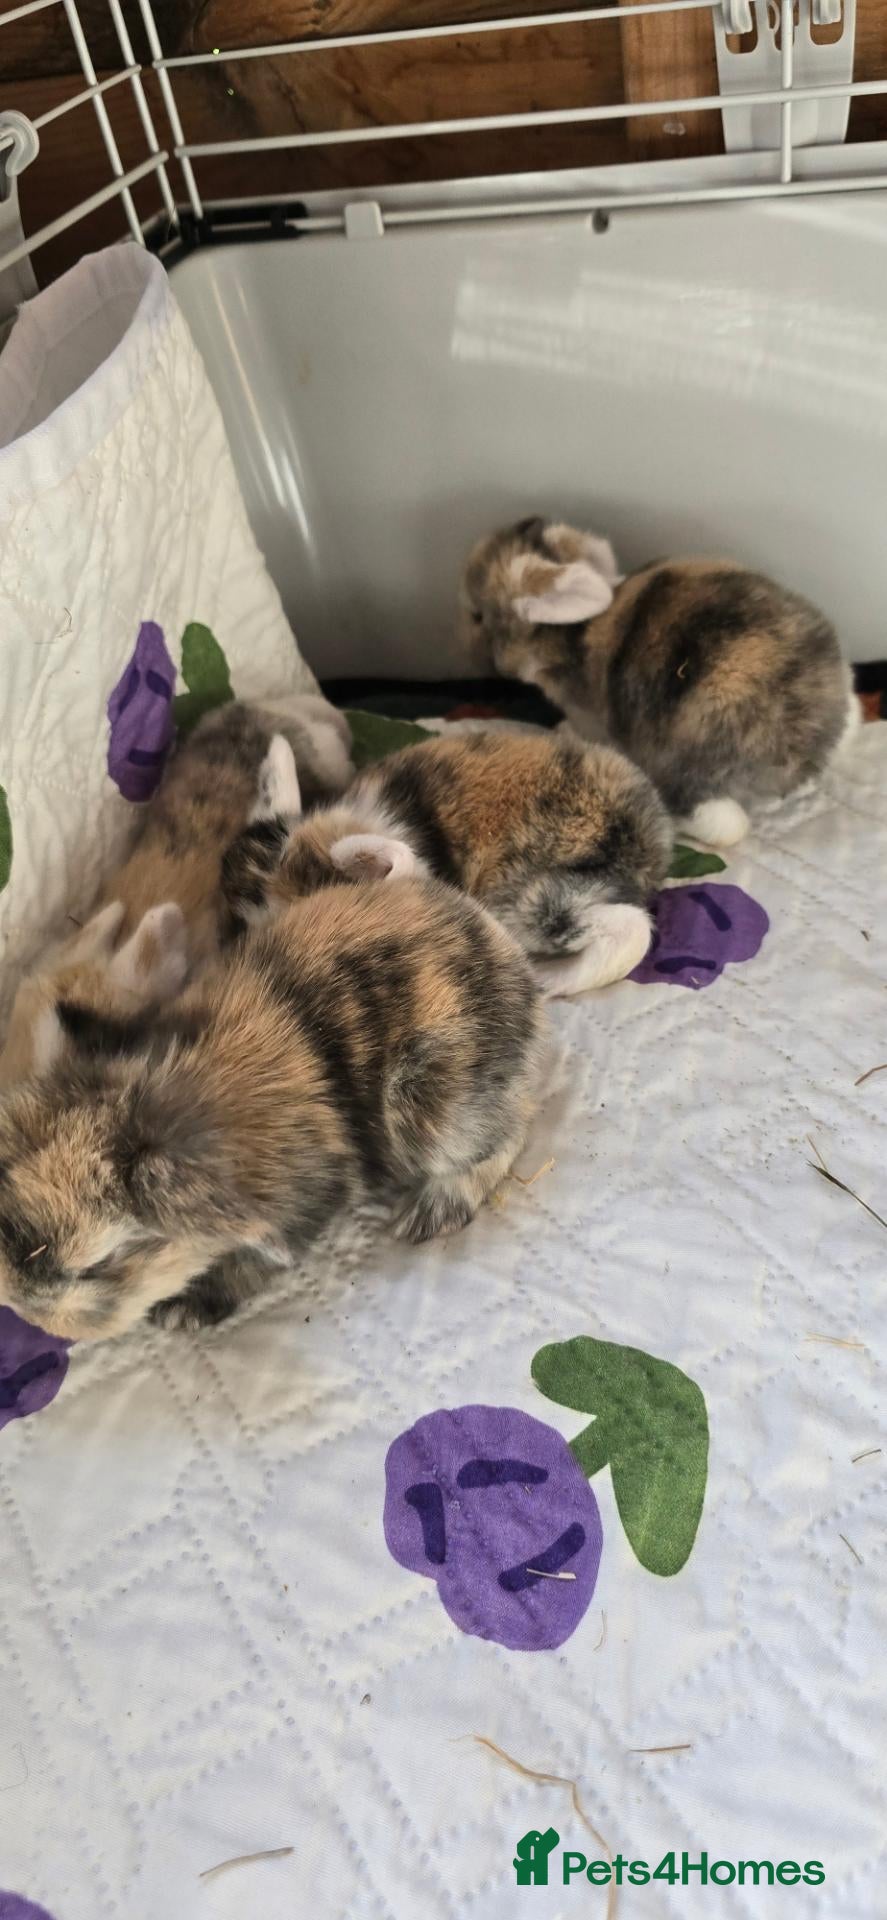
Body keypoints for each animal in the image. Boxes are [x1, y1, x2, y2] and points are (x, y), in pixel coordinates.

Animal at [0, 874, 542, 1340]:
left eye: (97, 1266)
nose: (35, 1318)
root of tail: (515, 964)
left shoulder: (305, 1203)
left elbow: (259, 1260)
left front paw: (180, 1313)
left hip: (437, 1112)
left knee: (511, 1129)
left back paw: (426, 1216)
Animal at [459, 517, 858, 847]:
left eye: (477, 616)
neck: (568, 632)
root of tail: (805, 735)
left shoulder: (585, 713)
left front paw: (562, 730)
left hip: (685, 767)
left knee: (726, 826)